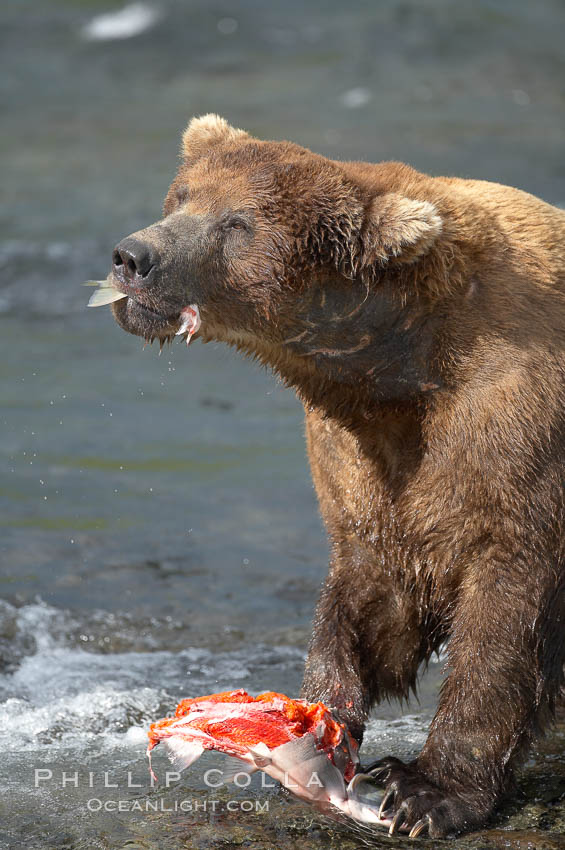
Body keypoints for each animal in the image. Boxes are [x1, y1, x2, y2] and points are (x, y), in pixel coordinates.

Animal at [109, 114, 565, 838]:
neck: (400, 367)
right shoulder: (365, 456)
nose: (133, 256)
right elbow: (370, 583)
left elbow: (507, 611)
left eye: (235, 223)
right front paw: (320, 720)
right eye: (180, 196)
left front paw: (425, 791)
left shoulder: (515, 424)